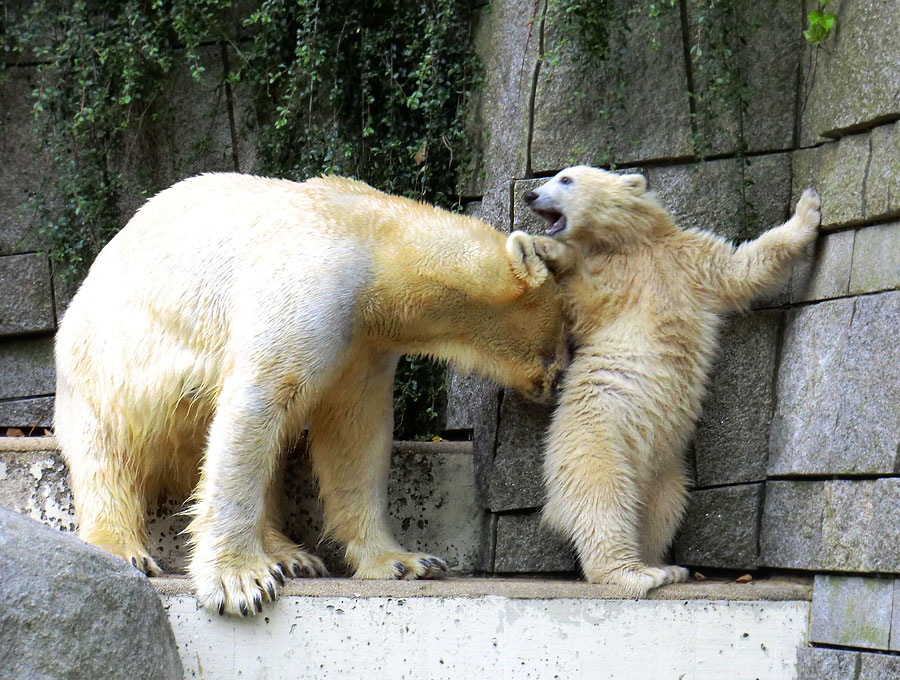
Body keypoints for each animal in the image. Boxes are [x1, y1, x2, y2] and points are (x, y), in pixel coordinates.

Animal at [52, 174, 568, 616]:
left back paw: (292, 555)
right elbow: (256, 405)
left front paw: (407, 562)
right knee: (108, 451)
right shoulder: (308, 294)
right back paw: (123, 548)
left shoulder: (363, 347)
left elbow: (355, 437)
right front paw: (240, 582)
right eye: (571, 332)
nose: (561, 381)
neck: (375, 251)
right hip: (105, 366)